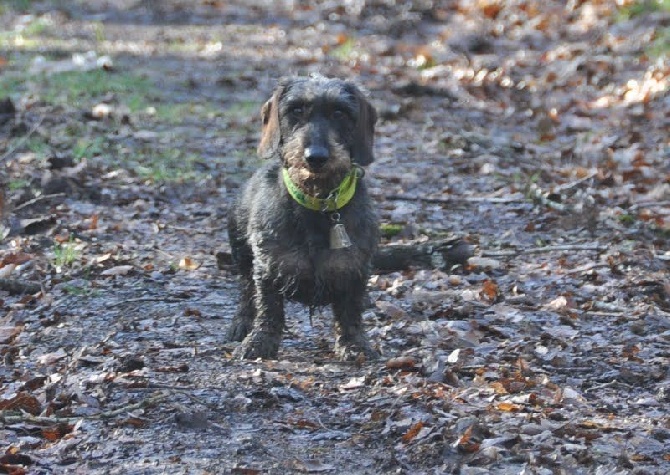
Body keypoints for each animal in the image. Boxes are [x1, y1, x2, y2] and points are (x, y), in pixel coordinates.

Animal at [227, 75, 380, 360]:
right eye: (296, 110)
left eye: (340, 112)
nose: (315, 157)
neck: (318, 207)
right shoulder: (267, 266)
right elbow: (268, 306)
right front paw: (259, 342)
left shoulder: (355, 269)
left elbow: (351, 311)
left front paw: (354, 344)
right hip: (240, 252)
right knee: (245, 288)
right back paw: (241, 322)